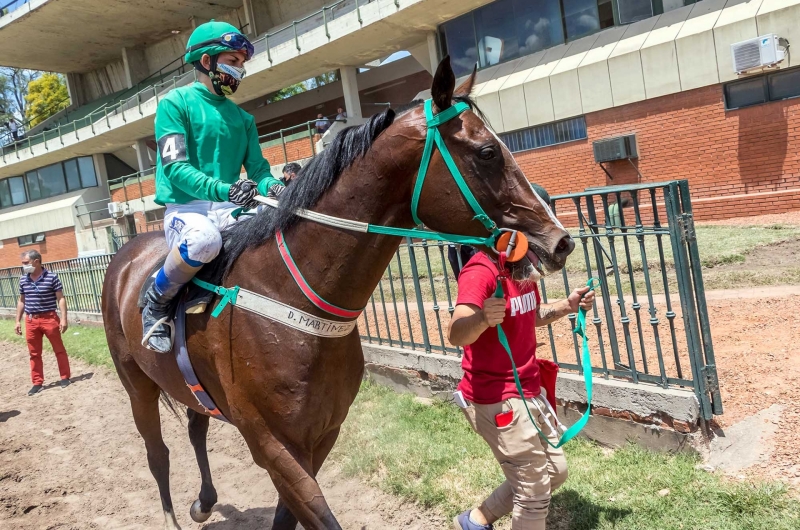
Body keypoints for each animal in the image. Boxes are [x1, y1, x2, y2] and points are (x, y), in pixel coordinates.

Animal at [101, 57, 576, 528]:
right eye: (487, 152)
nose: (560, 241)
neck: (289, 297)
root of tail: (127, 252)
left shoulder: (321, 434)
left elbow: (288, 516)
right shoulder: (271, 442)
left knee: (195, 425)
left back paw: (203, 502)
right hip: (135, 382)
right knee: (158, 454)